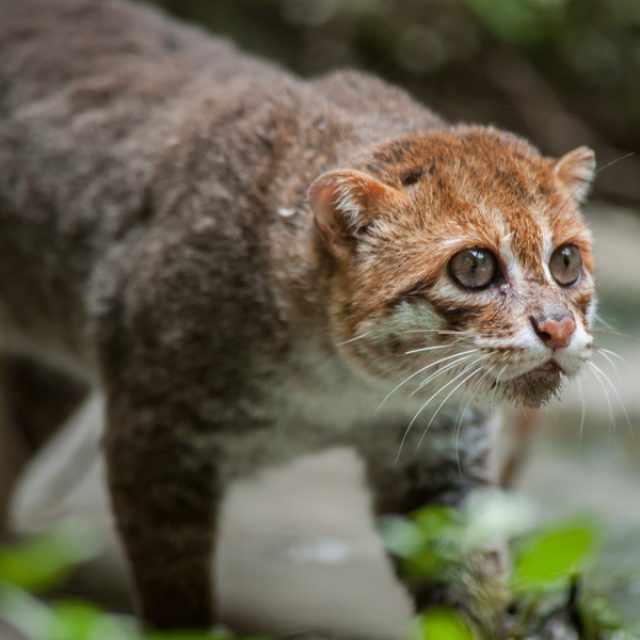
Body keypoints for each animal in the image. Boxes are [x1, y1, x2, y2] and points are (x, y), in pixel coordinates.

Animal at [1, 0, 596, 632]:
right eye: (474, 266)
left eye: (565, 262)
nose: (559, 327)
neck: (338, 388)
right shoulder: (155, 444)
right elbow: (178, 608)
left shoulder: (440, 459)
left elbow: (470, 596)